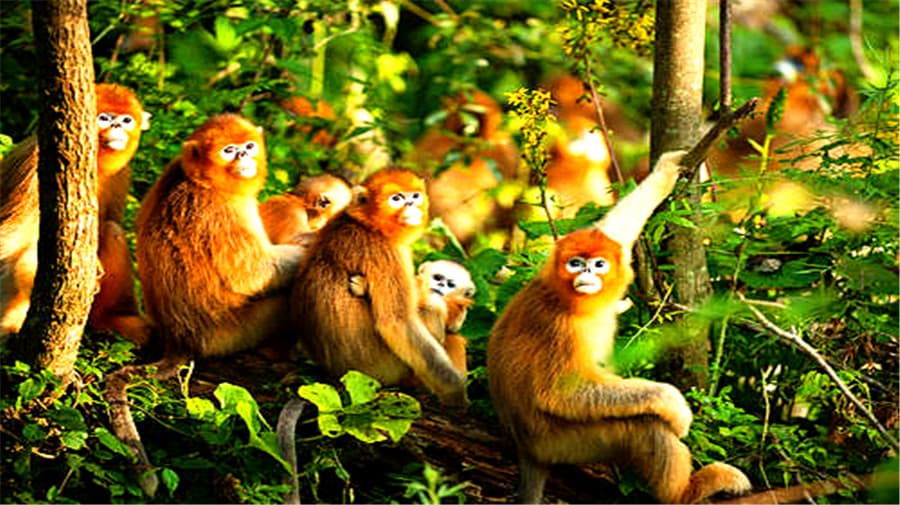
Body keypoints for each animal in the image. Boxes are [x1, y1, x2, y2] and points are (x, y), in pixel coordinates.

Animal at [0, 83, 151, 345]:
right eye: (104, 118)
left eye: (126, 120)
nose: (117, 126)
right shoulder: (35, 165)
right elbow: (12, 238)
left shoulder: (122, 173)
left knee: (111, 228)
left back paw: (111, 320)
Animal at [290, 168, 468, 407]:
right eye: (397, 199)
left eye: (415, 196)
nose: (411, 204)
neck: (368, 226)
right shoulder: (385, 251)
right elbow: (397, 323)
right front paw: (456, 393)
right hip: (385, 371)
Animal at [487, 151, 752, 504]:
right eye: (575, 264)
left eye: (598, 264)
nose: (587, 274)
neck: (569, 301)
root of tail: (526, 450)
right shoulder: (559, 328)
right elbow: (560, 393)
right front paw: (674, 404)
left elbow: (615, 228)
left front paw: (665, 171)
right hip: (570, 442)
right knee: (647, 427)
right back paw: (686, 492)